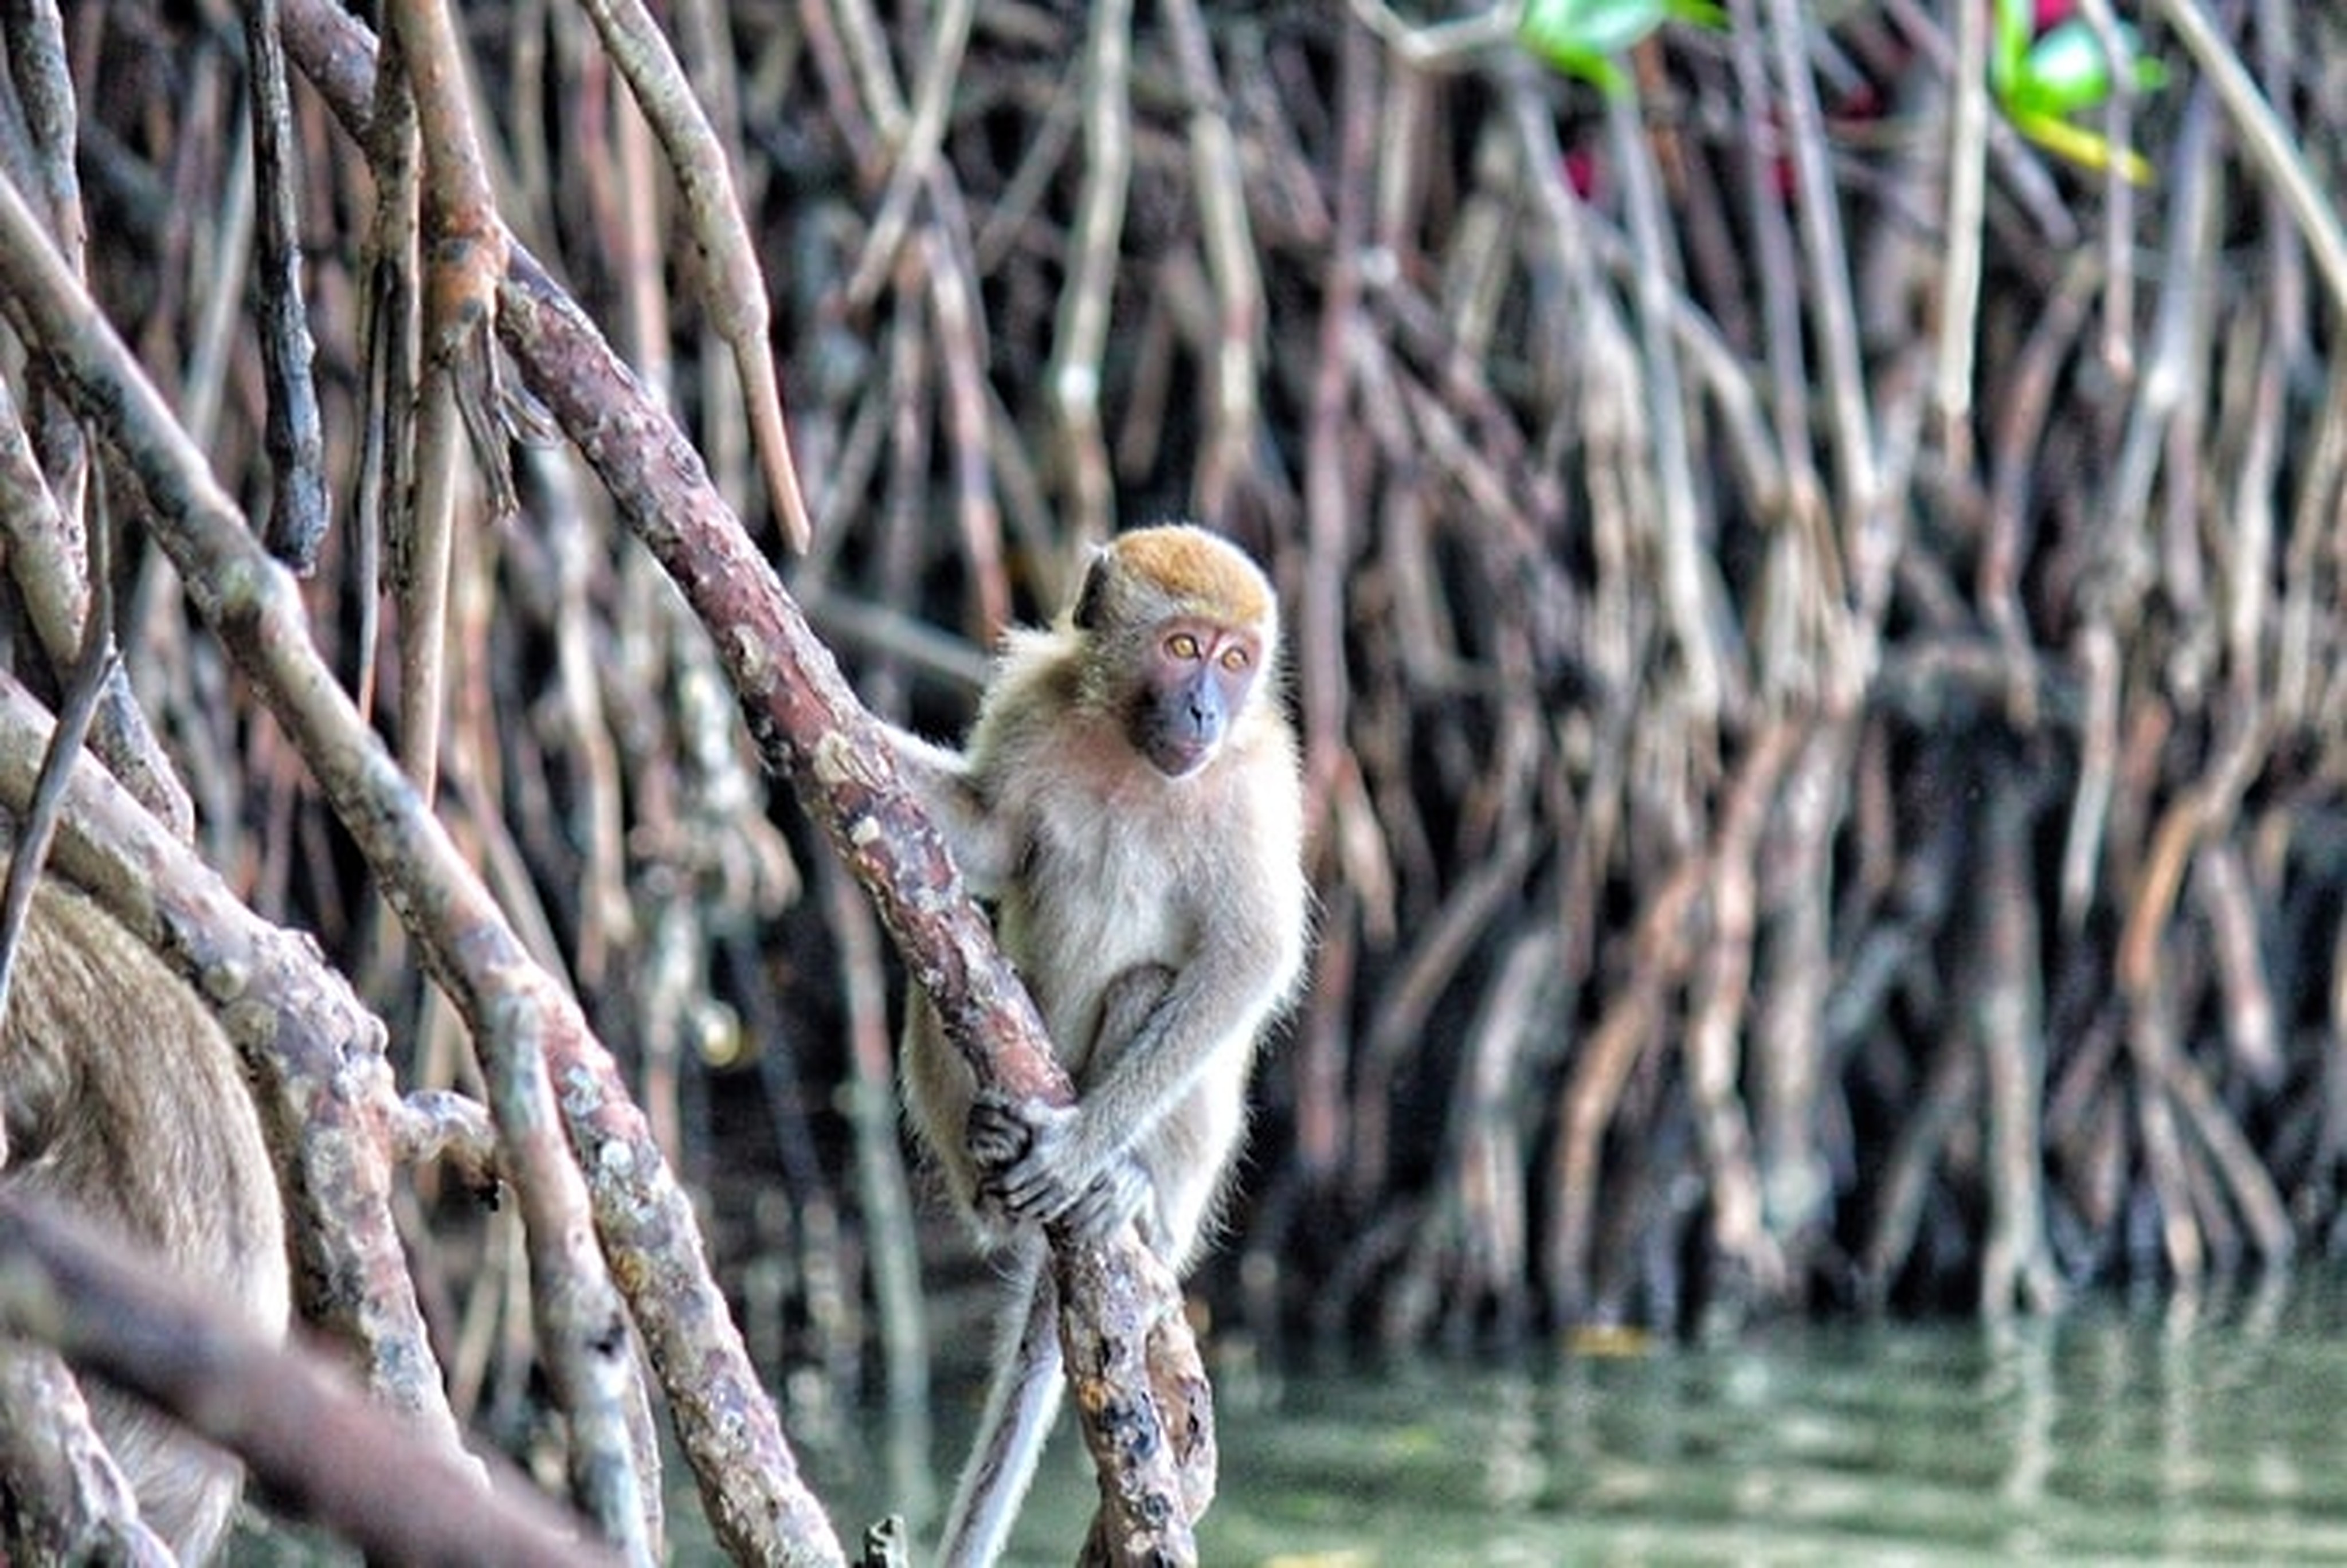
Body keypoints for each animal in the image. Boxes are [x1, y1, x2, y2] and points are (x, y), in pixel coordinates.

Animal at [887, 521, 1314, 1558]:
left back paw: (1123, 1195)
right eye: (1182, 647)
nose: (1204, 707)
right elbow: (984, 838)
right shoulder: (1033, 704)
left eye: (1236, 661)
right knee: (956, 954)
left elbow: (1249, 958)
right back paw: (991, 1180)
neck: (1128, 745)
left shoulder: (1252, 786)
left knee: (1150, 988)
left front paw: (1079, 1148)